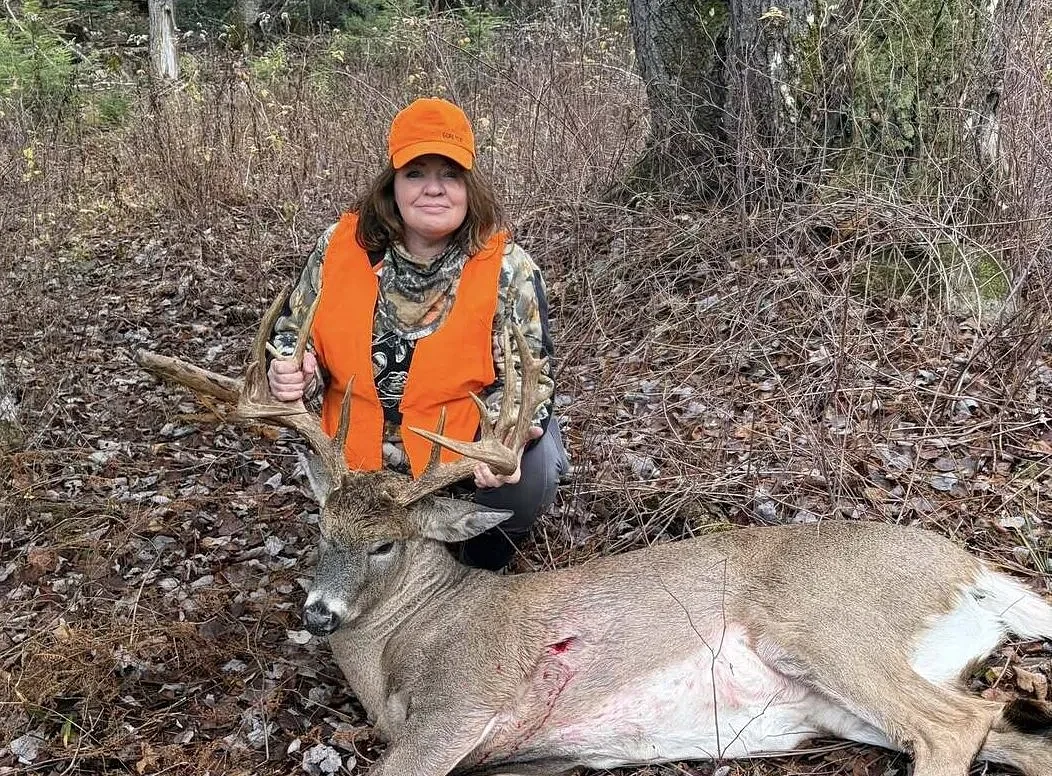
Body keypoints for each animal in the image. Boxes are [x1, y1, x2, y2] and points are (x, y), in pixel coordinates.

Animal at [137, 288, 1052, 776]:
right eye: (321, 522)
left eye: (386, 543)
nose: (318, 612)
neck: (399, 649)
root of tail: (968, 564)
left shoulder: (462, 705)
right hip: (842, 699)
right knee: (1002, 727)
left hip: (827, 626)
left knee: (953, 726)